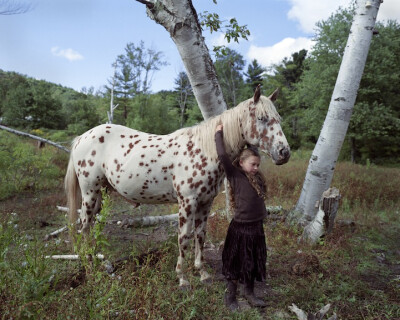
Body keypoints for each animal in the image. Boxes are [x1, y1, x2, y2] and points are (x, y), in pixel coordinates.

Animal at [65, 85, 290, 288]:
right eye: (262, 118)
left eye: (278, 118)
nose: (284, 153)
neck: (204, 150)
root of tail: (82, 138)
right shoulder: (187, 203)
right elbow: (184, 238)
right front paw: (182, 278)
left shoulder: (205, 203)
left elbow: (200, 235)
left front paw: (202, 273)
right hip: (89, 193)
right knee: (85, 226)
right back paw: (89, 269)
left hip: (100, 194)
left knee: (91, 227)